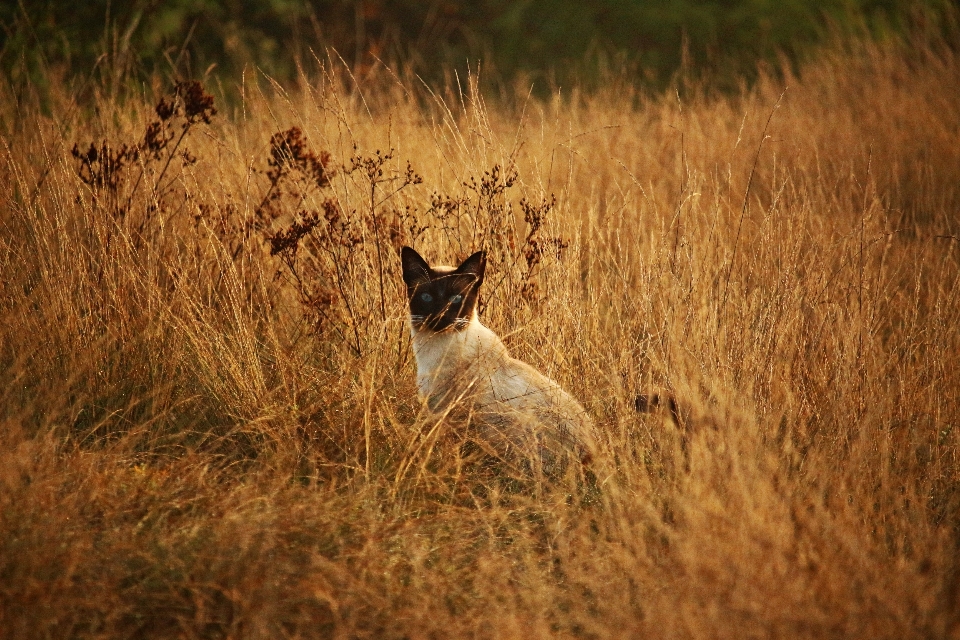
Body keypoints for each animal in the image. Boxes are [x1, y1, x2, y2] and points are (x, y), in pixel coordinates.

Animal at [400, 246, 596, 476]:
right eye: (426, 297)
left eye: (456, 299)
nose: (440, 316)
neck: (433, 350)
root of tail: (593, 457)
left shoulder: (454, 416)